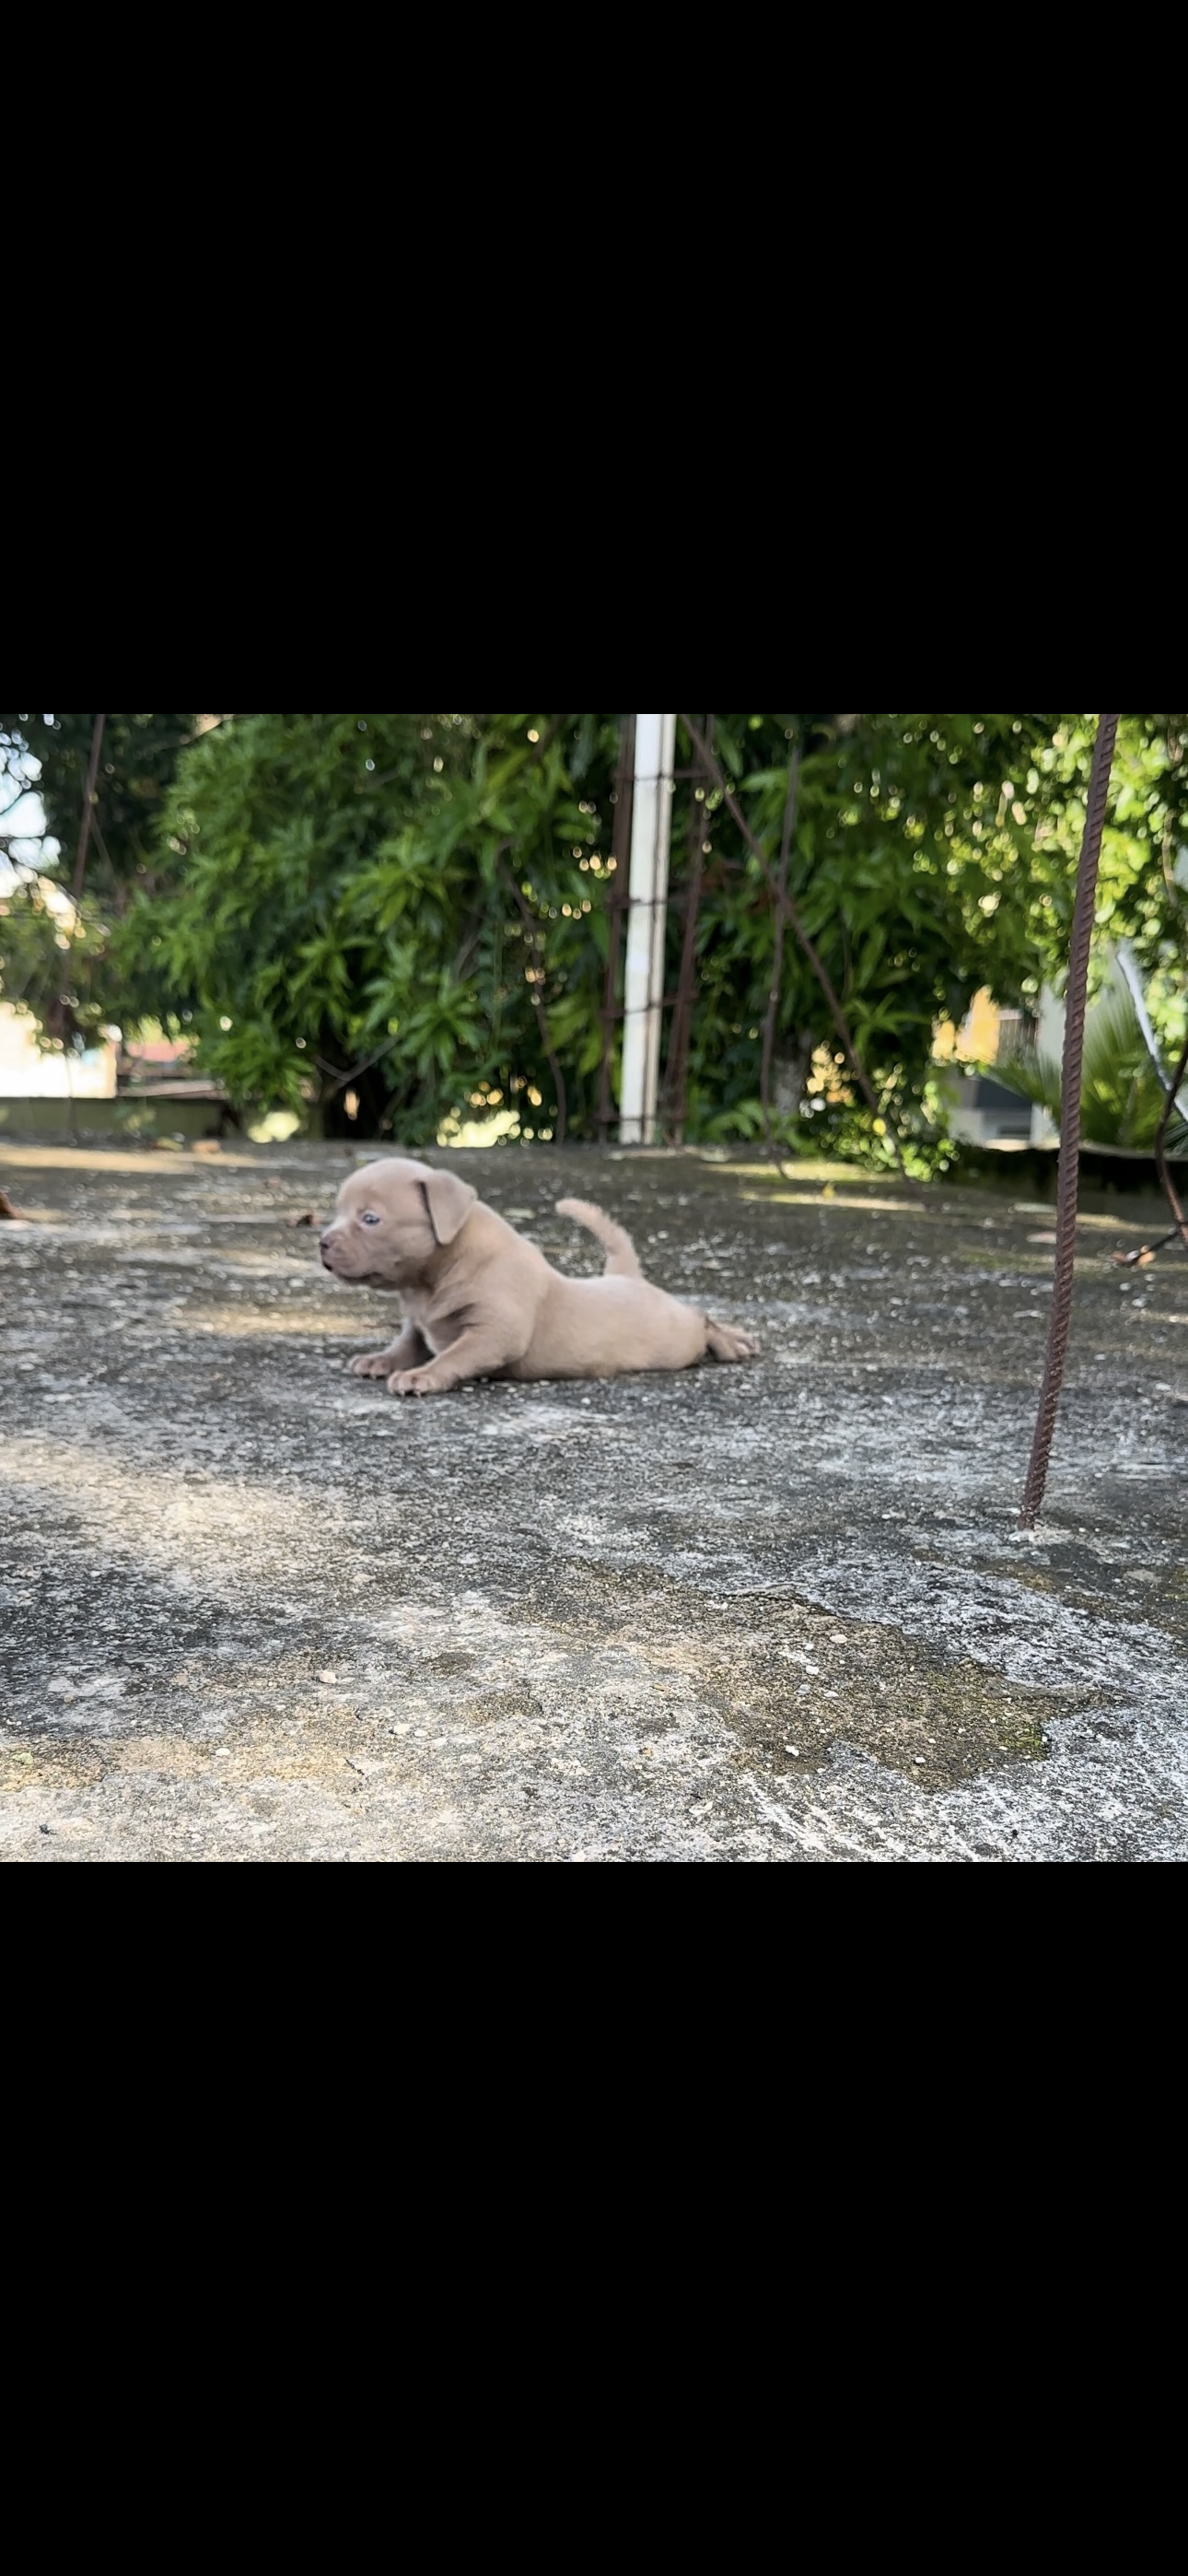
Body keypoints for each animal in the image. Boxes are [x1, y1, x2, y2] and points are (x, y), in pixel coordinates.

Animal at [319, 1164, 752, 1401]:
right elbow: (406, 1343)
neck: (433, 1277)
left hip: (674, 1340)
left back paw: (732, 1342)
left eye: (370, 1219)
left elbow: (456, 1353)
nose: (321, 1242)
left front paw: (421, 1376)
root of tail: (626, 1275)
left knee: (699, 1316)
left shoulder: (496, 1330)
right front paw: (380, 1359)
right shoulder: (419, 1321)